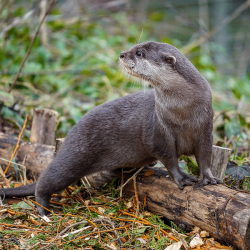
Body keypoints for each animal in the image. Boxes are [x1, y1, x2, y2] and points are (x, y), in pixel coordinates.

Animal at [0, 41, 221, 215]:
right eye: (134, 48)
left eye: (139, 53)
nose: (122, 54)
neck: (183, 113)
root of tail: (72, 131)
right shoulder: (159, 130)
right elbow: (168, 157)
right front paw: (181, 178)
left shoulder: (205, 127)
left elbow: (205, 155)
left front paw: (209, 178)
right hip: (76, 154)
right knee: (48, 178)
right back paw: (43, 209)